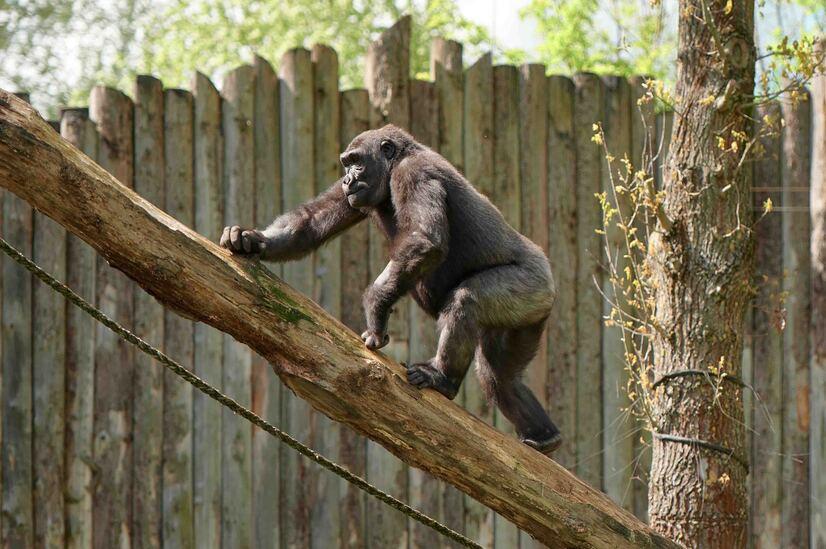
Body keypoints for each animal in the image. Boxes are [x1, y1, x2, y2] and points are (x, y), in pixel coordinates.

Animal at [220, 125, 562, 455]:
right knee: (498, 375)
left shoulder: (414, 173)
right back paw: (543, 435)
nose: (347, 179)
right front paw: (249, 240)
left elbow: (424, 240)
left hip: (531, 285)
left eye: (356, 161)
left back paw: (442, 378)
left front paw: (376, 306)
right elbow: (310, 223)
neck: (397, 161)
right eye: (346, 164)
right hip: (530, 315)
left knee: (467, 302)